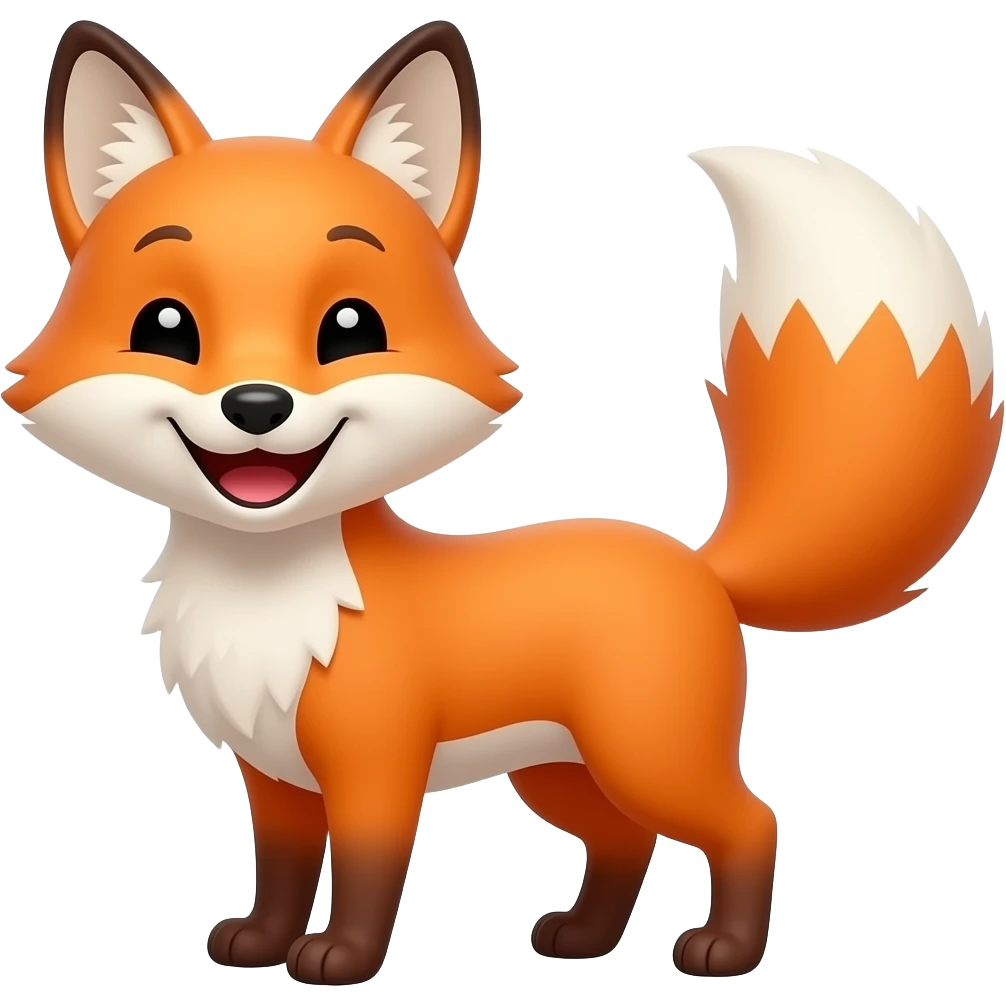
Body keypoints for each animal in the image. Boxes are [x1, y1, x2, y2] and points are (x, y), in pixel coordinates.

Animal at [10, 17, 1002, 988]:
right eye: (166, 328)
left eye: (350, 329)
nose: (258, 406)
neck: (268, 592)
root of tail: (697, 562)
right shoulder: (275, 774)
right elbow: (283, 868)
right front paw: (259, 942)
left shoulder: (377, 765)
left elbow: (367, 870)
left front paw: (339, 960)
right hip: (560, 772)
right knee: (626, 841)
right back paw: (585, 939)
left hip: (647, 753)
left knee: (751, 820)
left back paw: (724, 951)